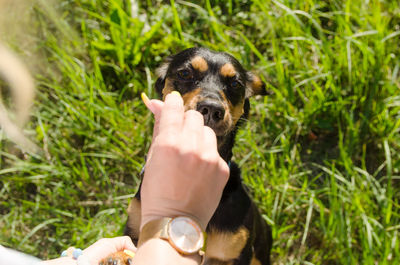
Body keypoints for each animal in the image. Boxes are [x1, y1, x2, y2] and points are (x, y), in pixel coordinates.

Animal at [101, 48, 274, 264]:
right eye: (185, 73)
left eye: (235, 84)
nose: (212, 109)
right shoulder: (135, 226)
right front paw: (117, 257)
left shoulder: (234, 252)